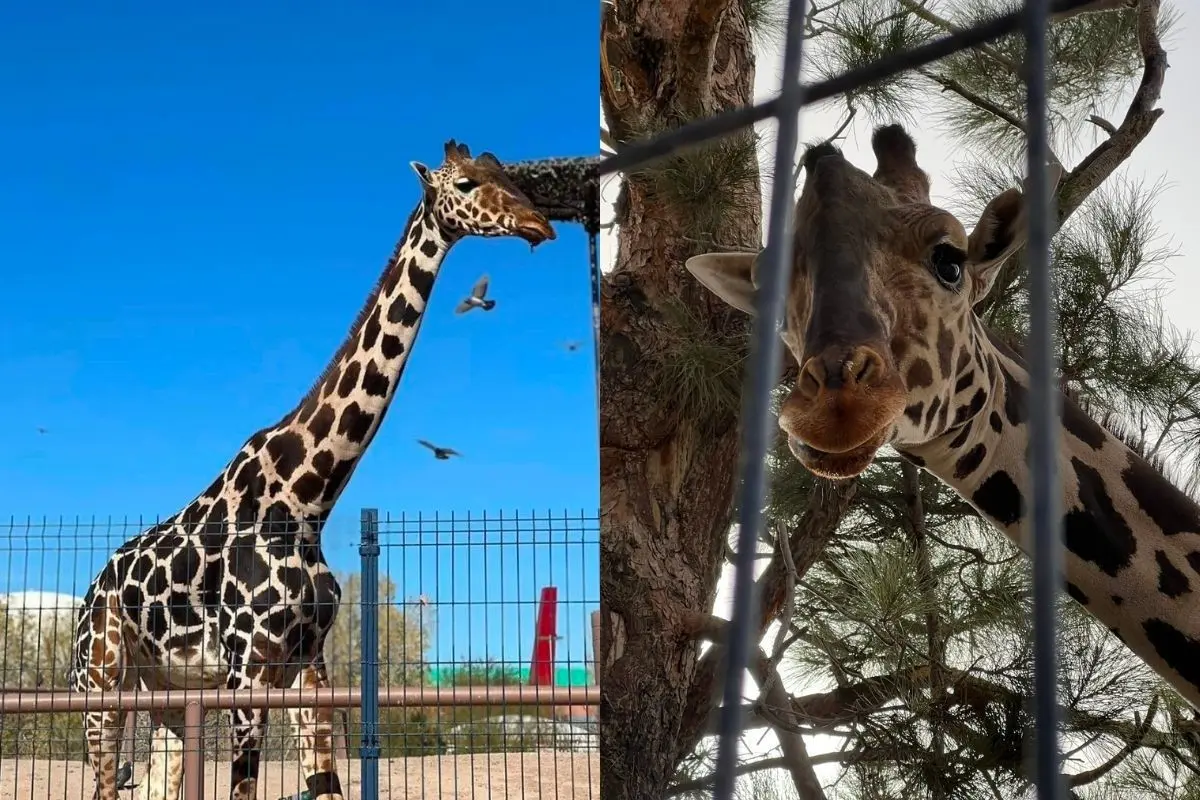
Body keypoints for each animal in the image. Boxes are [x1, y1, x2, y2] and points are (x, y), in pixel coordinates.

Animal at [72, 139, 559, 800]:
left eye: (503, 169)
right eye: (464, 182)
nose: (541, 223)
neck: (307, 496)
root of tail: (89, 592)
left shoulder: (307, 669)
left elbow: (325, 781)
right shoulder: (247, 673)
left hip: (167, 692)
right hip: (100, 683)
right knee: (102, 779)